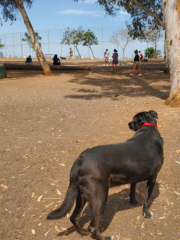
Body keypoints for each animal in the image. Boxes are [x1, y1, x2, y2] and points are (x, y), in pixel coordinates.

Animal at [47, 110, 164, 240]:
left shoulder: (134, 175)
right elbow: (147, 199)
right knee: (92, 227)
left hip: (81, 194)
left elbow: (132, 189)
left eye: (133, 120)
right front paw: (146, 213)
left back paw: (83, 232)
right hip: (100, 197)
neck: (147, 128)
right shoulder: (153, 177)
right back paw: (105, 237)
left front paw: (133, 201)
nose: (128, 123)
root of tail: (80, 160)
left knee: (74, 217)